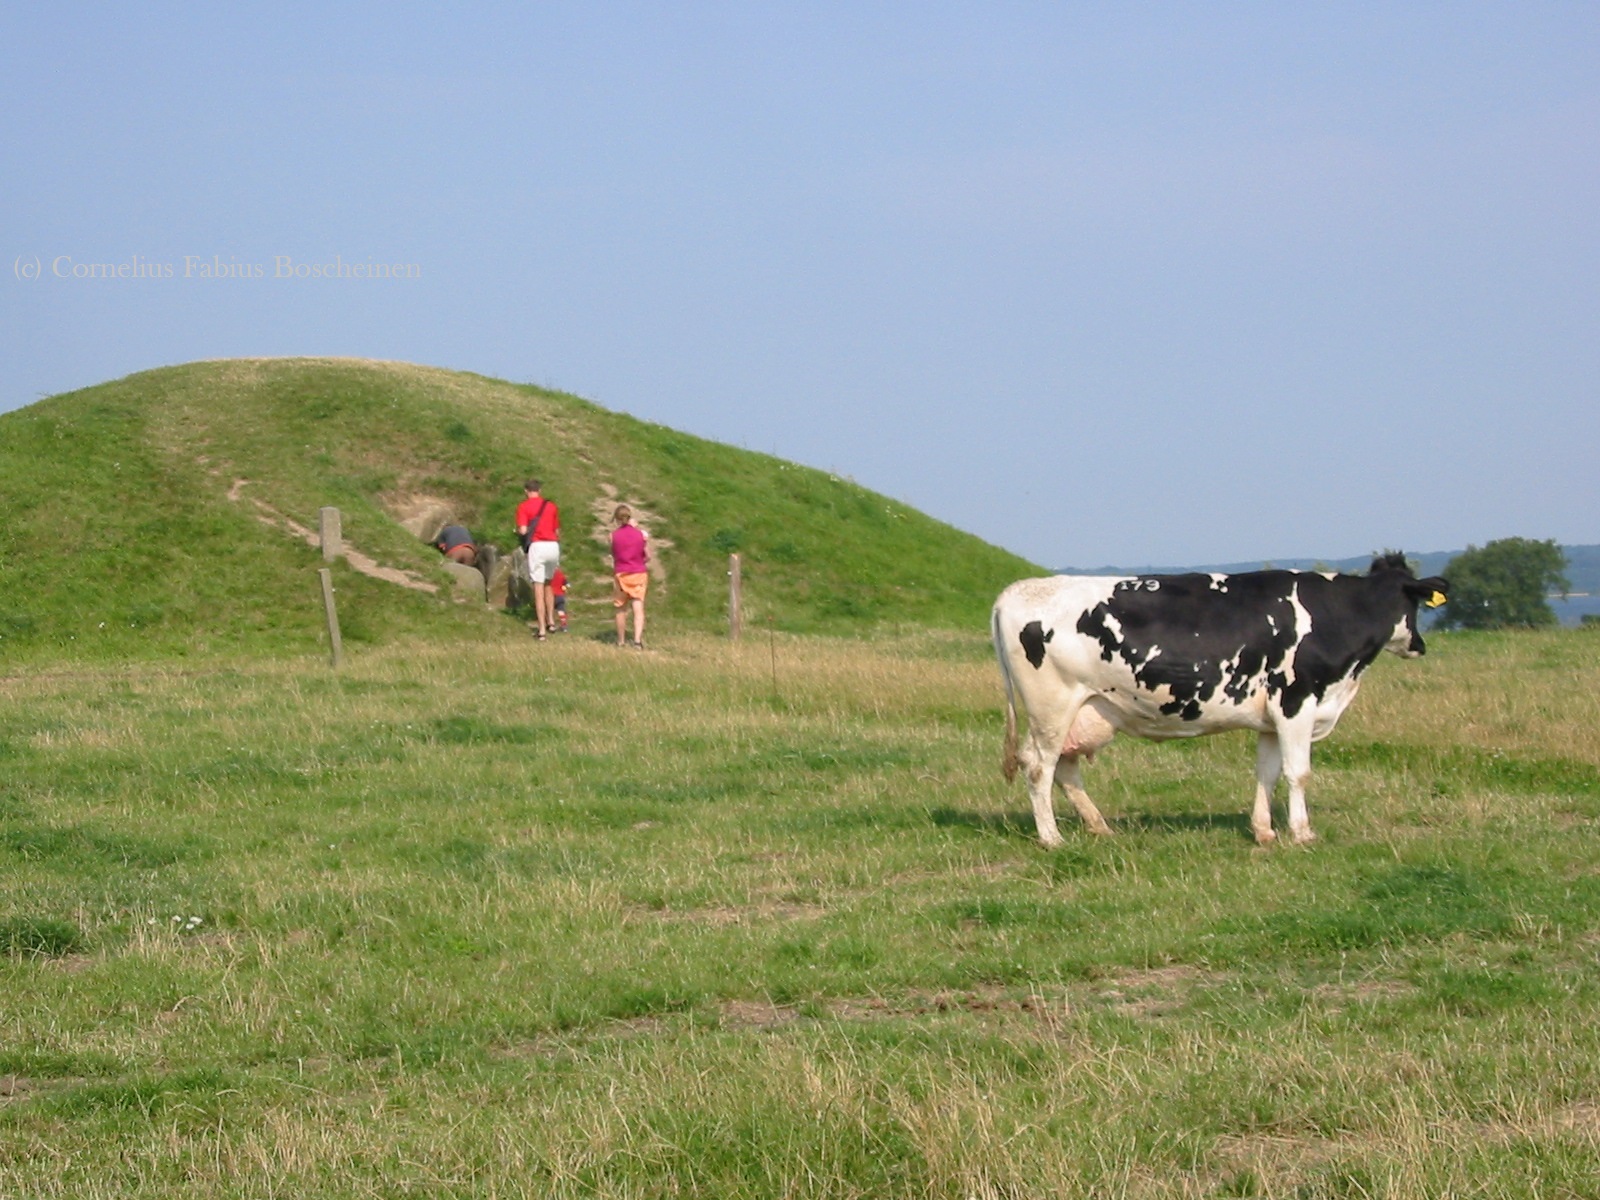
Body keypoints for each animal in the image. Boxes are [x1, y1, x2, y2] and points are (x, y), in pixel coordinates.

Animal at [985, 560, 1452, 851]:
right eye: (1413, 604)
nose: (1419, 645)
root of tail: (1018, 590)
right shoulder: (1296, 703)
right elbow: (1298, 773)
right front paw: (1302, 833)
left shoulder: (1270, 718)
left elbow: (1268, 773)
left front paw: (1264, 832)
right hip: (1052, 706)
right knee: (1039, 766)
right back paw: (1052, 838)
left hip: (1084, 708)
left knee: (1064, 766)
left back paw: (1100, 827)